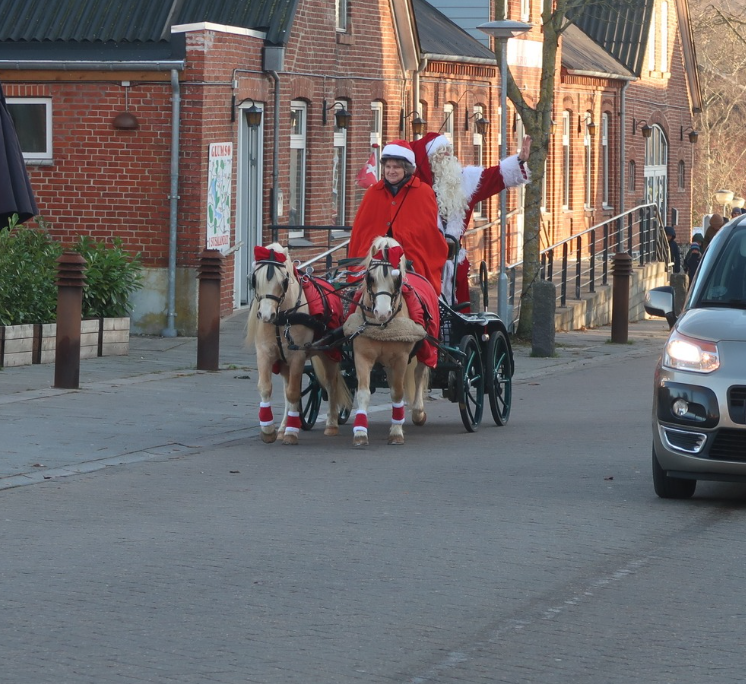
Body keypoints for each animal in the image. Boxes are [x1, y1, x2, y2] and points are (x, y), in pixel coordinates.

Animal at [244, 243, 348, 446]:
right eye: (254, 279)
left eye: (284, 280)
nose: (266, 315)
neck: (283, 316)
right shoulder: (265, 353)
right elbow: (266, 388)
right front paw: (269, 430)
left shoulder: (298, 356)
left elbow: (294, 393)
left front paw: (292, 433)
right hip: (285, 362)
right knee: (288, 390)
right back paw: (283, 427)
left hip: (328, 352)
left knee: (330, 383)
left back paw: (331, 424)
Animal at [342, 236, 430, 448]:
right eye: (370, 277)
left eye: (397, 279)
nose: (382, 313)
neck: (382, 326)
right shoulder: (362, 357)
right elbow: (363, 393)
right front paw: (360, 433)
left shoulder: (400, 359)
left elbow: (397, 393)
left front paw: (396, 432)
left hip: (424, 350)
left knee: (419, 374)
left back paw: (418, 412)